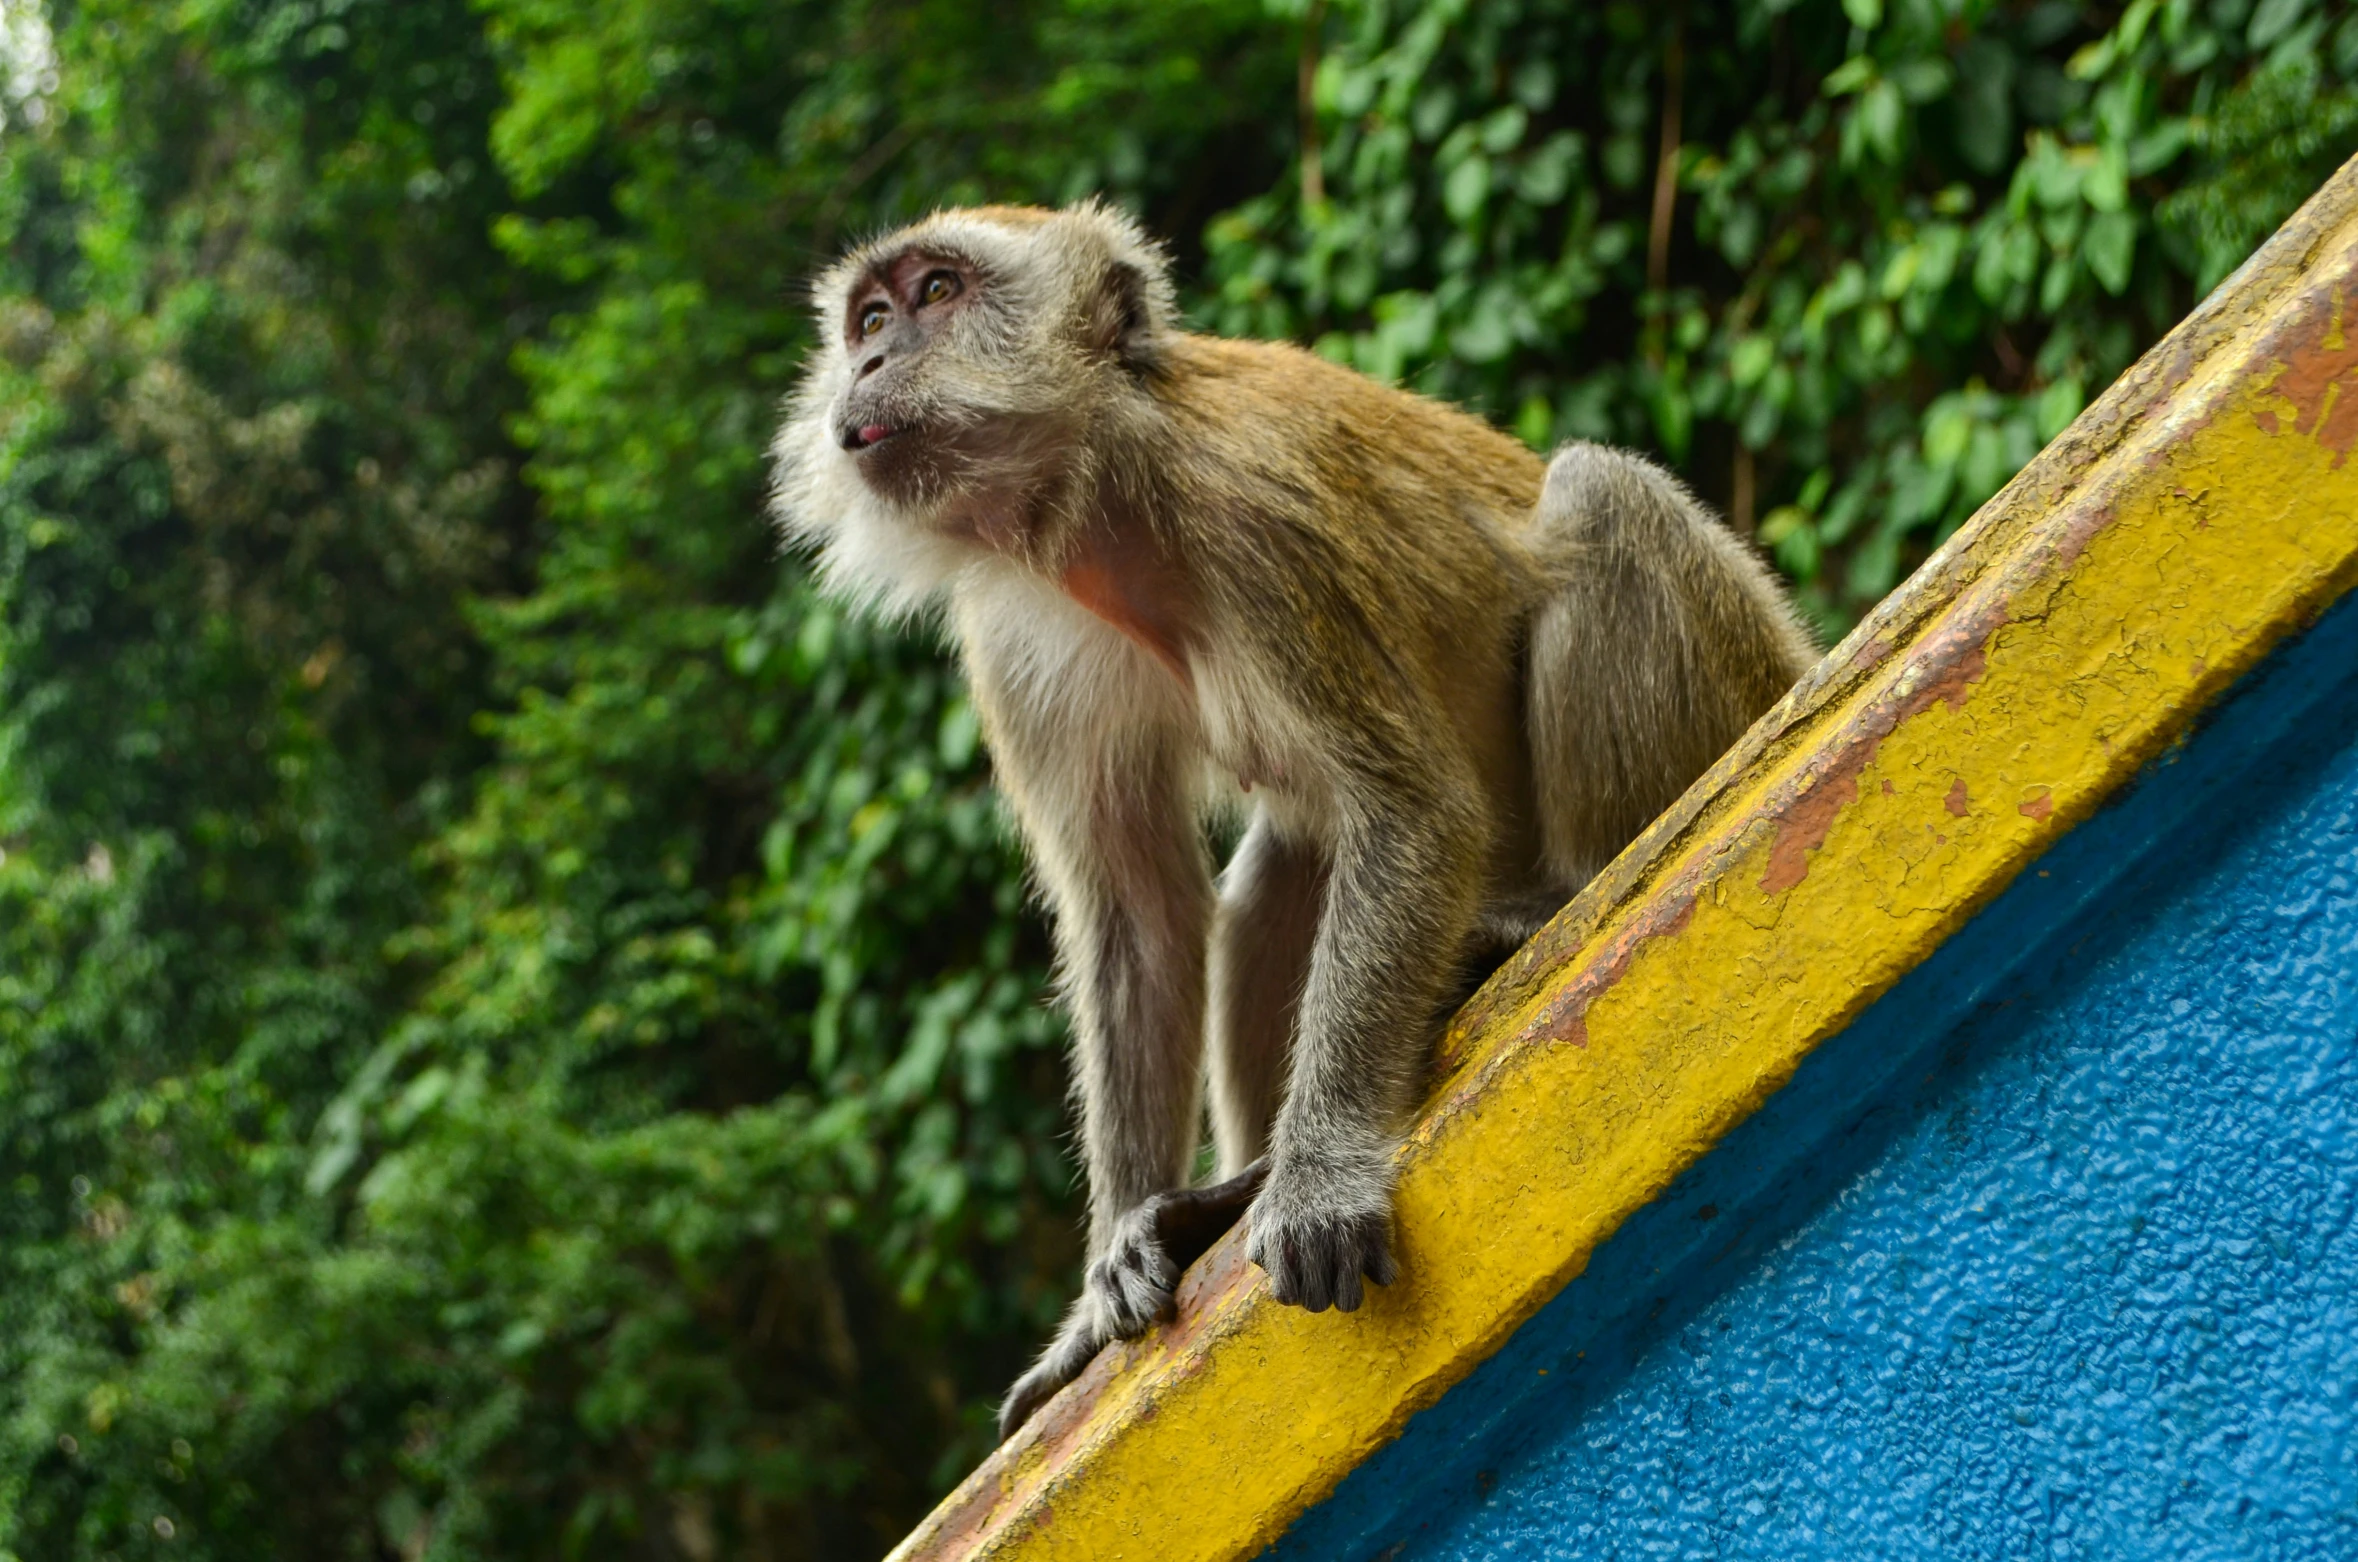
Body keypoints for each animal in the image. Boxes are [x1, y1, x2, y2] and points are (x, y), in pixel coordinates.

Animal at [763, 201, 1810, 1453]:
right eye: (868, 319)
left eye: (935, 292)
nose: (870, 364)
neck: (1103, 504)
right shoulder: (1017, 641)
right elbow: (1143, 914)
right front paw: (1102, 1284)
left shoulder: (1254, 519)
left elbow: (1410, 806)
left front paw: (1316, 1173)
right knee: (1277, 869)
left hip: (1740, 676)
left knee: (1601, 495)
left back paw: (1548, 901)